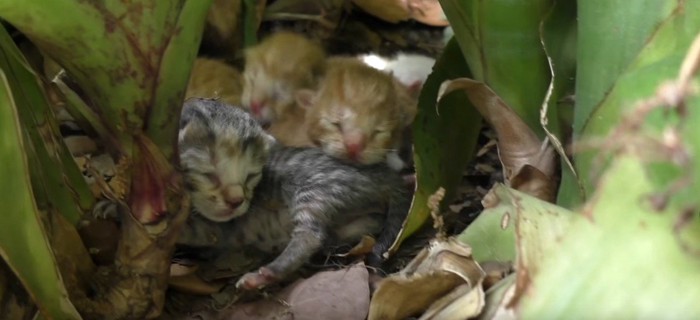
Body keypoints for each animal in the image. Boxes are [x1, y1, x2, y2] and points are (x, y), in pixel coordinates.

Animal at [178, 99, 412, 292]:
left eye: (251, 176)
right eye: (208, 174)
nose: (236, 201)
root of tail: (385, 173)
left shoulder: (213, 227)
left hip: (316, 190)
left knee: (309, 235)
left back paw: (264, 275)